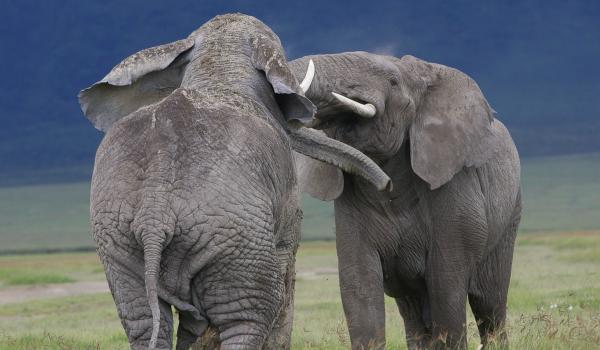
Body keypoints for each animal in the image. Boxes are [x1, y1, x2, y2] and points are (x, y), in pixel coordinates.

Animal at [78, 15, 390, 350]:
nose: (387, 185)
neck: (220, 67)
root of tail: (154, 213)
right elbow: (286, 259)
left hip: (119, 240)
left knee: (144, 323)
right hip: (234, 235)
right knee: (249, 316)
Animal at [290, 52, 520, 350]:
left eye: (393, 81)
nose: (385, 182)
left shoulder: (453, 188)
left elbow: (446, 282)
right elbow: (359, 284)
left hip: (510, 215)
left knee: (489, 302)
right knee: (413, 311)